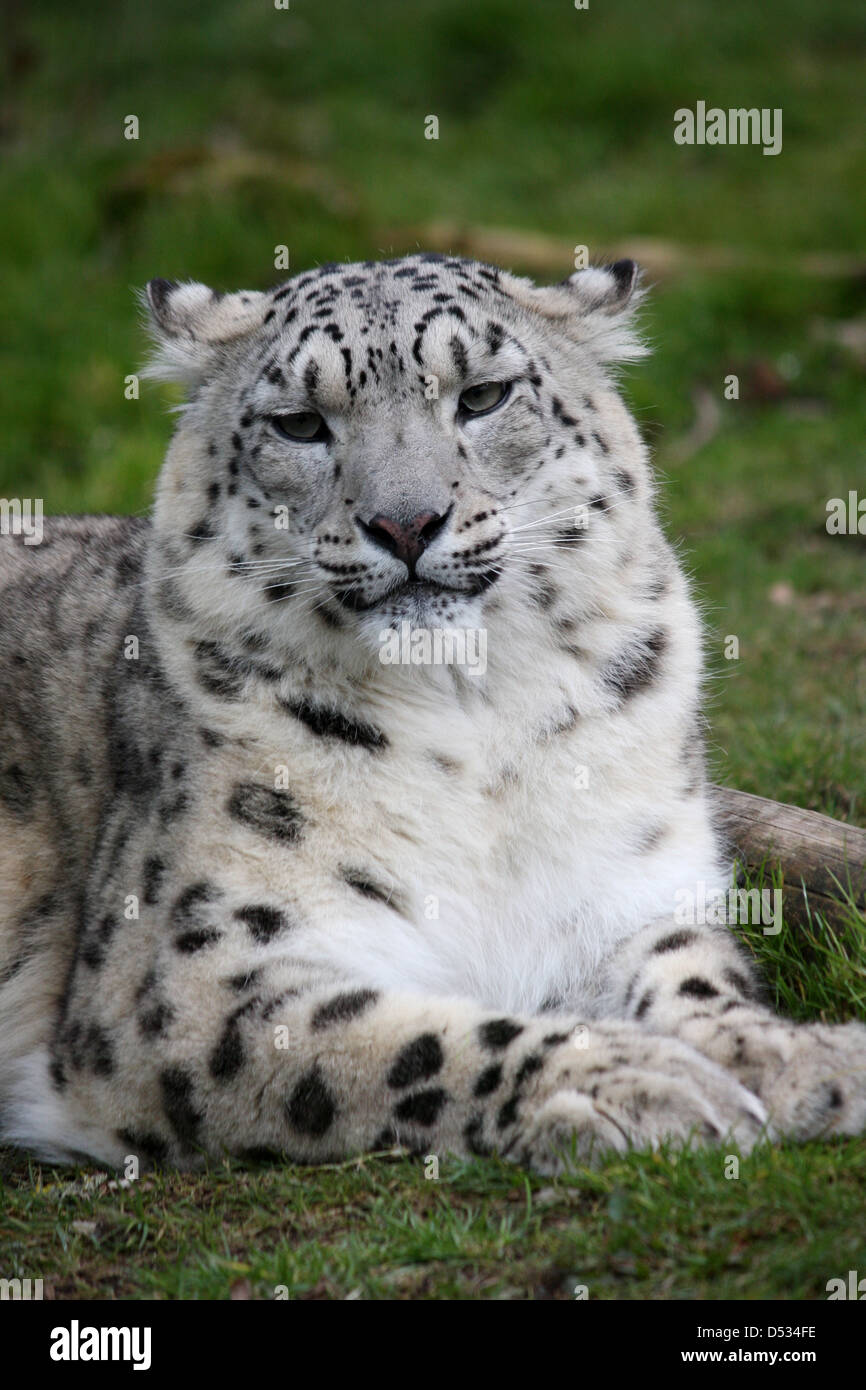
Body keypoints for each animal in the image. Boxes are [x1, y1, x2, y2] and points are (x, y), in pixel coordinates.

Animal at [1, 252, 864, 1174]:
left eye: (483, 396)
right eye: (300, 424)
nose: (406, 522)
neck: (476, 725)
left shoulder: (629, 891)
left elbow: (695, 979)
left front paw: (806, 1058)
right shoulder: (182, 981)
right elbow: (410, 1045)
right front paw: (640, 1083)